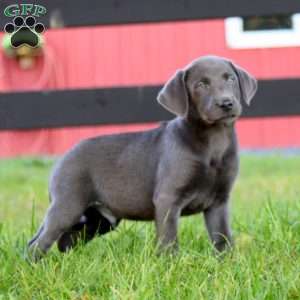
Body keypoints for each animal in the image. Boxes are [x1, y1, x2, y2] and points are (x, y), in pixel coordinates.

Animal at [28, 55, 256, 258]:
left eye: (230, 79)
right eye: (201, 84)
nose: (226, 103)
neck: (213, 142)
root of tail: (63, 157)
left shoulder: (219, 202)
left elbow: (222, 238)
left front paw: (227, 265)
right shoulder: (167, 199)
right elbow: (169, 241)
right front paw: (170, 268)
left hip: (98, 219)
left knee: (66, 240)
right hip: (68, 204)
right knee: (38, 243)